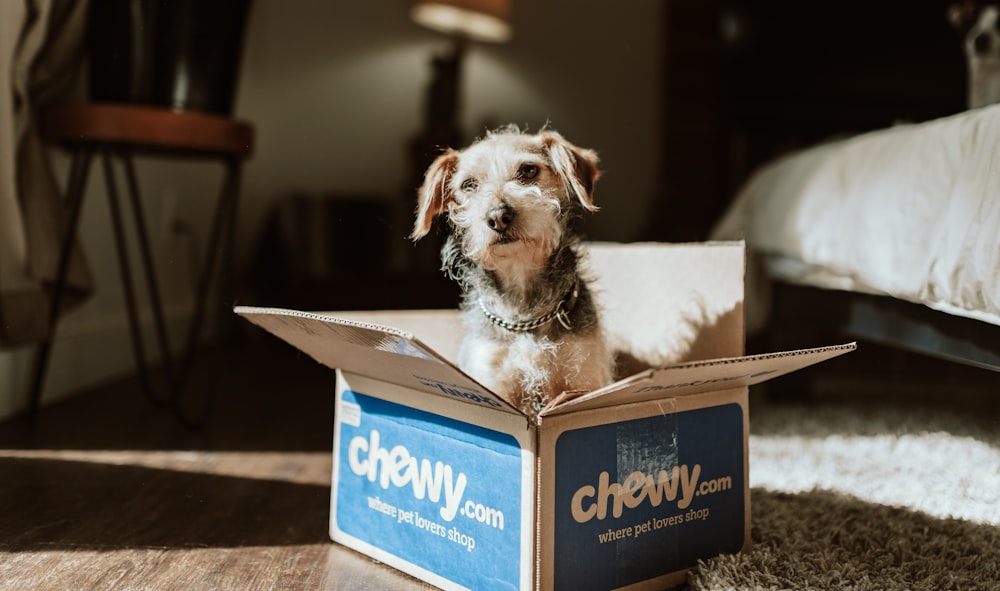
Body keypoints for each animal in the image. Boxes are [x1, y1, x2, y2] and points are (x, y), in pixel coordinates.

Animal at [410, 127, 612, 418]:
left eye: (528, 170)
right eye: (468, 184)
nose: (497, 217)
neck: (524, 316)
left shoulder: (583, 378)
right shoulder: (495, 383)